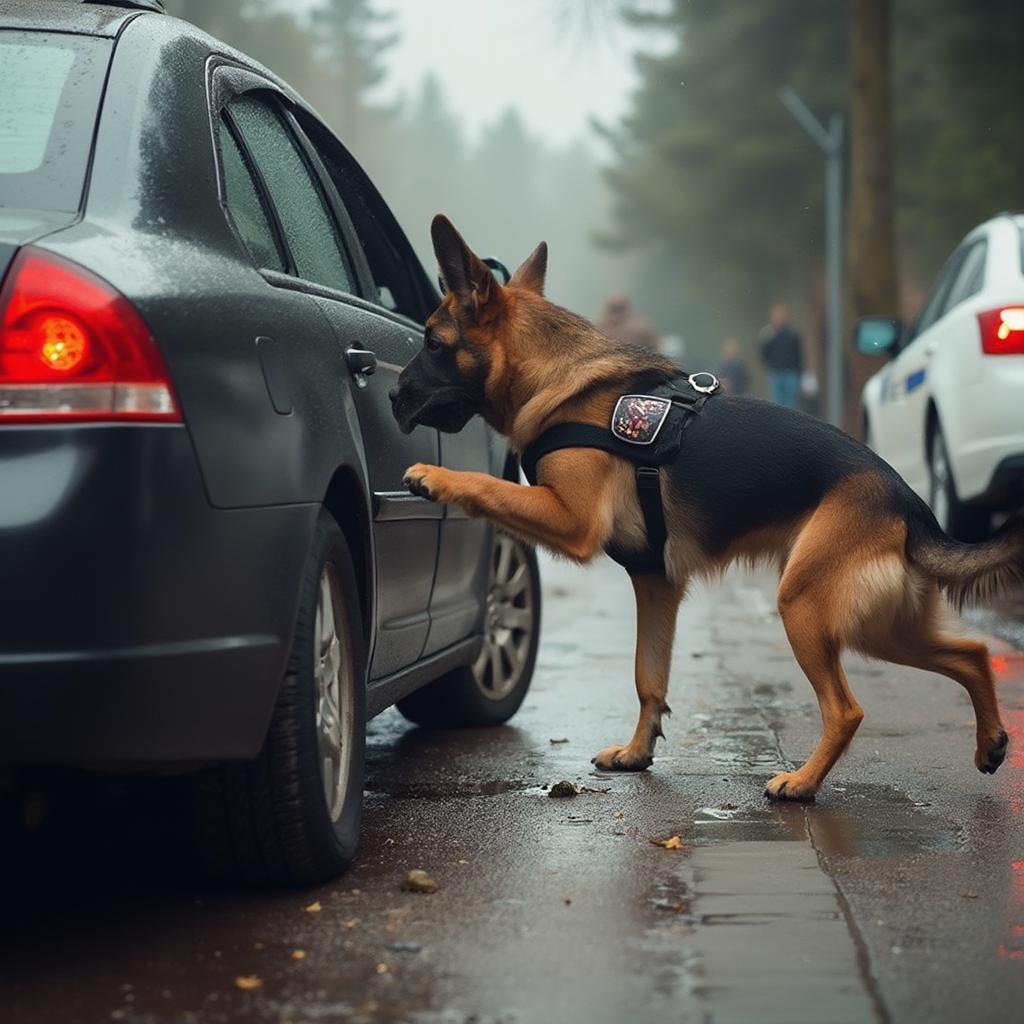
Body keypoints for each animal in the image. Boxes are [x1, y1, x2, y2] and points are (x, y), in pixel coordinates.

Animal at [387, 216, 1019, 798]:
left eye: (433, 342)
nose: (392, 393)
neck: (559, 380)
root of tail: (908, 500)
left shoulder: (570, 521)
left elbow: (485, 486)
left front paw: (435, 476)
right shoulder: (655, 585)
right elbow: (649, 677)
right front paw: (638, 752)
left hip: (807, 607)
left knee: (847, 709)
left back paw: (802, 783)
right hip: (878, 626)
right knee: (972, 652)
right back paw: (990, 742)